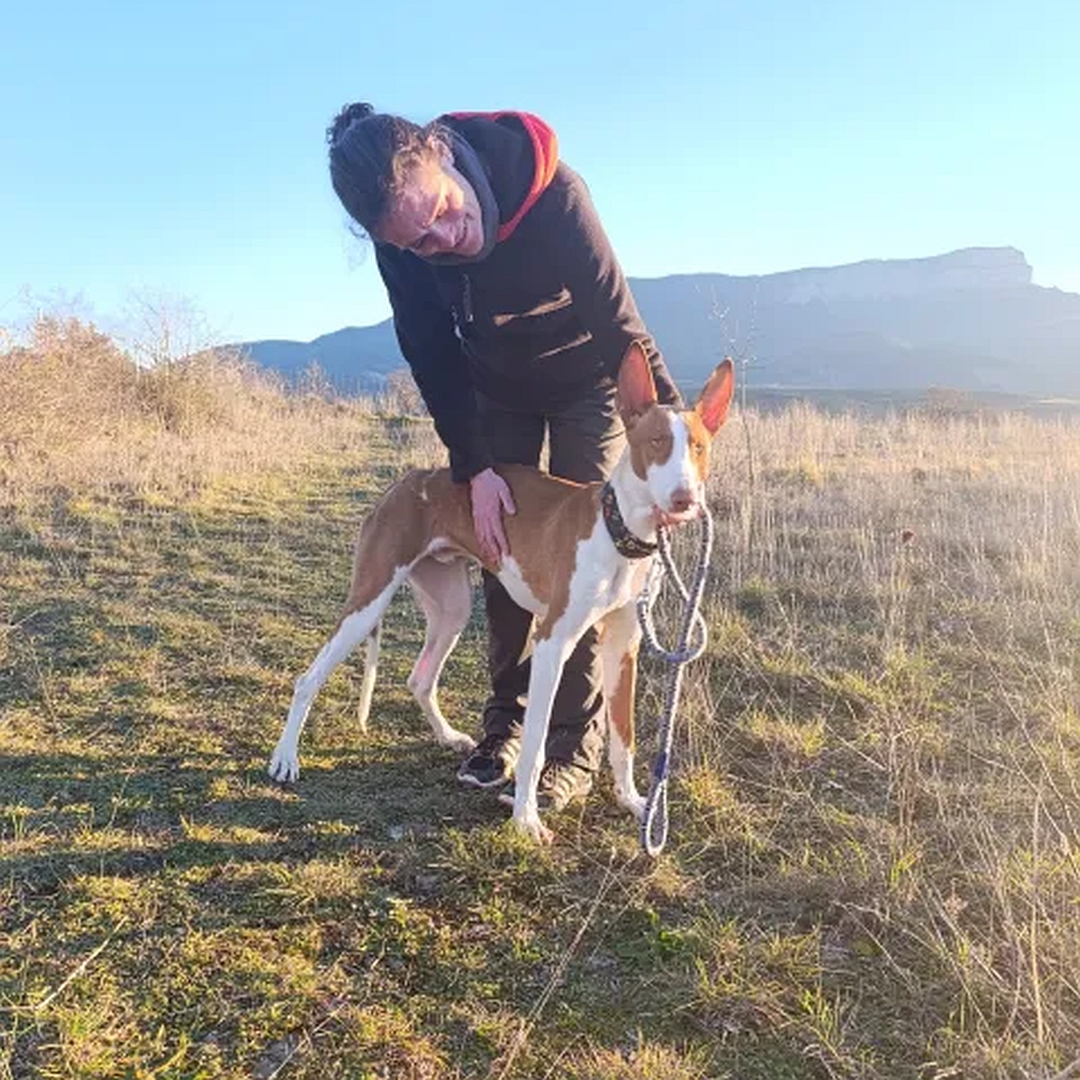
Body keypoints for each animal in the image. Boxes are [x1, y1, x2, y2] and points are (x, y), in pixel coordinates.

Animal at [268, 341, 734, 838]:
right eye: (656, 443)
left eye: (699, 448)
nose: (685, 500)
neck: (619, 530)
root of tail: (407, 482)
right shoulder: (552, 641)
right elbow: (533, 744)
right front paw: (526, 818)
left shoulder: (622, 647)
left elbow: (622, 741)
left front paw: (636, 803)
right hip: (368, 600)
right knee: (307, 679)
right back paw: (285, 759)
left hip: (451, 608)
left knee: (420, 678)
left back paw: (448, 736)